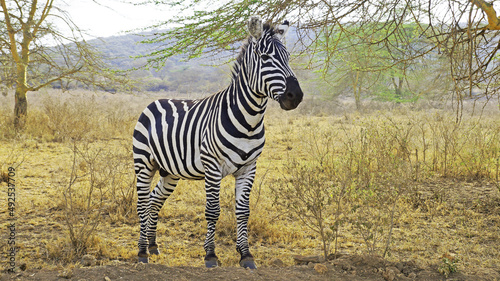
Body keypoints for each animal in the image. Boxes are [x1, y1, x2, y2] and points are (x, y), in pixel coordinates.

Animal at [133, 15, 302, 270]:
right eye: (265, 58)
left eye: (288, 57)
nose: (296, 96)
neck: (249, 120)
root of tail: (154, 102)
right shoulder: (212, 166)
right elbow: (213, 211)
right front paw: (211, 255)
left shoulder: (249, 167)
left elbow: (243, 211)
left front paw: (246, 255)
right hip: (144, 163)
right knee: (143, 202)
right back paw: (142, 251)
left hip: (170, 172)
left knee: (154, 200)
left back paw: (152, 245)